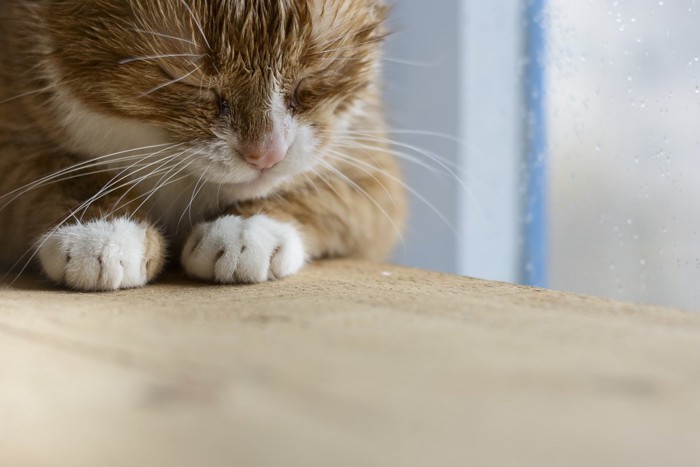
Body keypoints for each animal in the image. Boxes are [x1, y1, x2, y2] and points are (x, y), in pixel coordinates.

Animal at [0, 0, 404, 290]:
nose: (267, 153)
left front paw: (247, 227)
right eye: (188, 82)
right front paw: (101, 229)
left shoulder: (371, 170)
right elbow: (60, 174)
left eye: (316, 75)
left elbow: (323, 192)